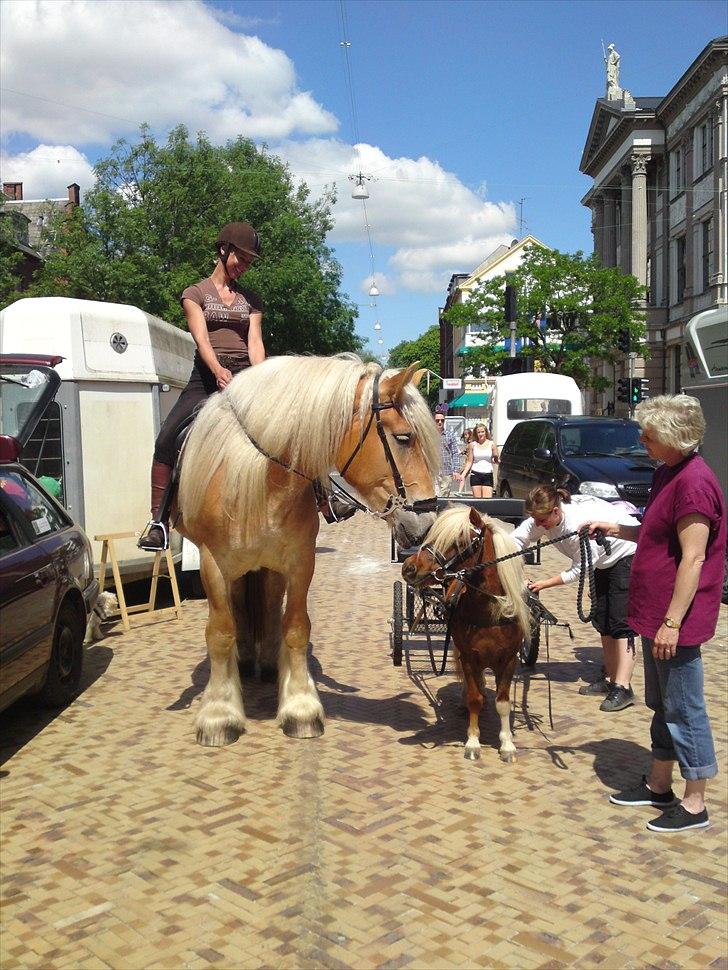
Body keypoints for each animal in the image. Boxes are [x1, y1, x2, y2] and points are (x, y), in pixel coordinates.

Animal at [176, 352, 438, 744]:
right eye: (404, 438)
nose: (427, 521)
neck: (260, 481)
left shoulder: (300, 562)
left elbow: (296, 628)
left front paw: (300, 706)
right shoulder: (213, 566)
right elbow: (220, 633)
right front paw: (219, 715)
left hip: (269, 566)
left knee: (269, 607)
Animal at [400, 502, 532, 760]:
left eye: (460, 541)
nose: (409, 568)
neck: (490, 611)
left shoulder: (509, 660)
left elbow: (503, 703)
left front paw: (507, 744)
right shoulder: (470, 656)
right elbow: (474, 698)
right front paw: (472, 741)